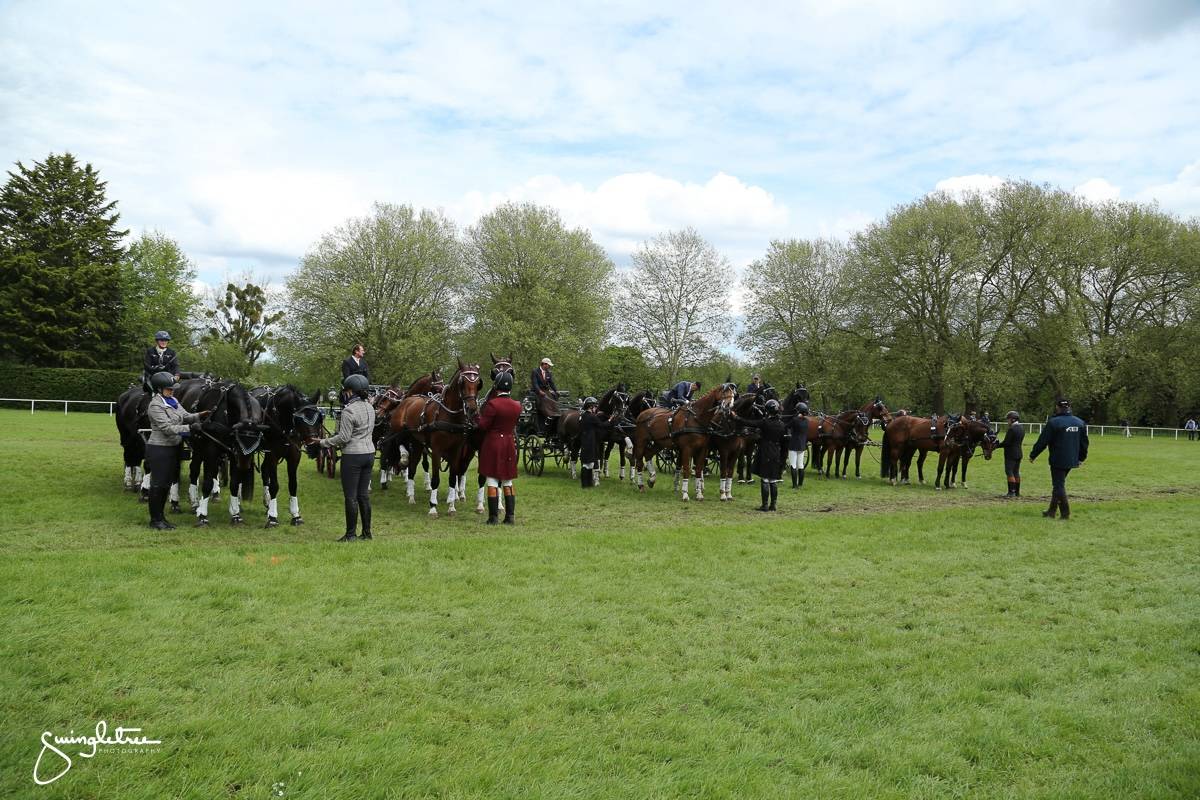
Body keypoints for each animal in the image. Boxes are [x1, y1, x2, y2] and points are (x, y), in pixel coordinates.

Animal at [249, 386, 324, 527]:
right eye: (299, 420)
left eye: (319, 419)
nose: (314, 448)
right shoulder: (272, 454)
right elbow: (274, 485)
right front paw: (273, 517)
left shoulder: (294, 456)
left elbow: (293, 484)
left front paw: (296, 515)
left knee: (264, 471)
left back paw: (267, 502)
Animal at [391, 359, 480, 515]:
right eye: (462, 382)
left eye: (477, 383)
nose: (472, 409)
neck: (450, 417)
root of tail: (408, 399)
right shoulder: (437, 450)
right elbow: (435, 479)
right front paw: (433, 507)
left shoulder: (456, 451)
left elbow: (453, 478)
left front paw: (452, 506)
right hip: (400, 430)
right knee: (400, 444)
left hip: (417, 443)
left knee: (412, 467)